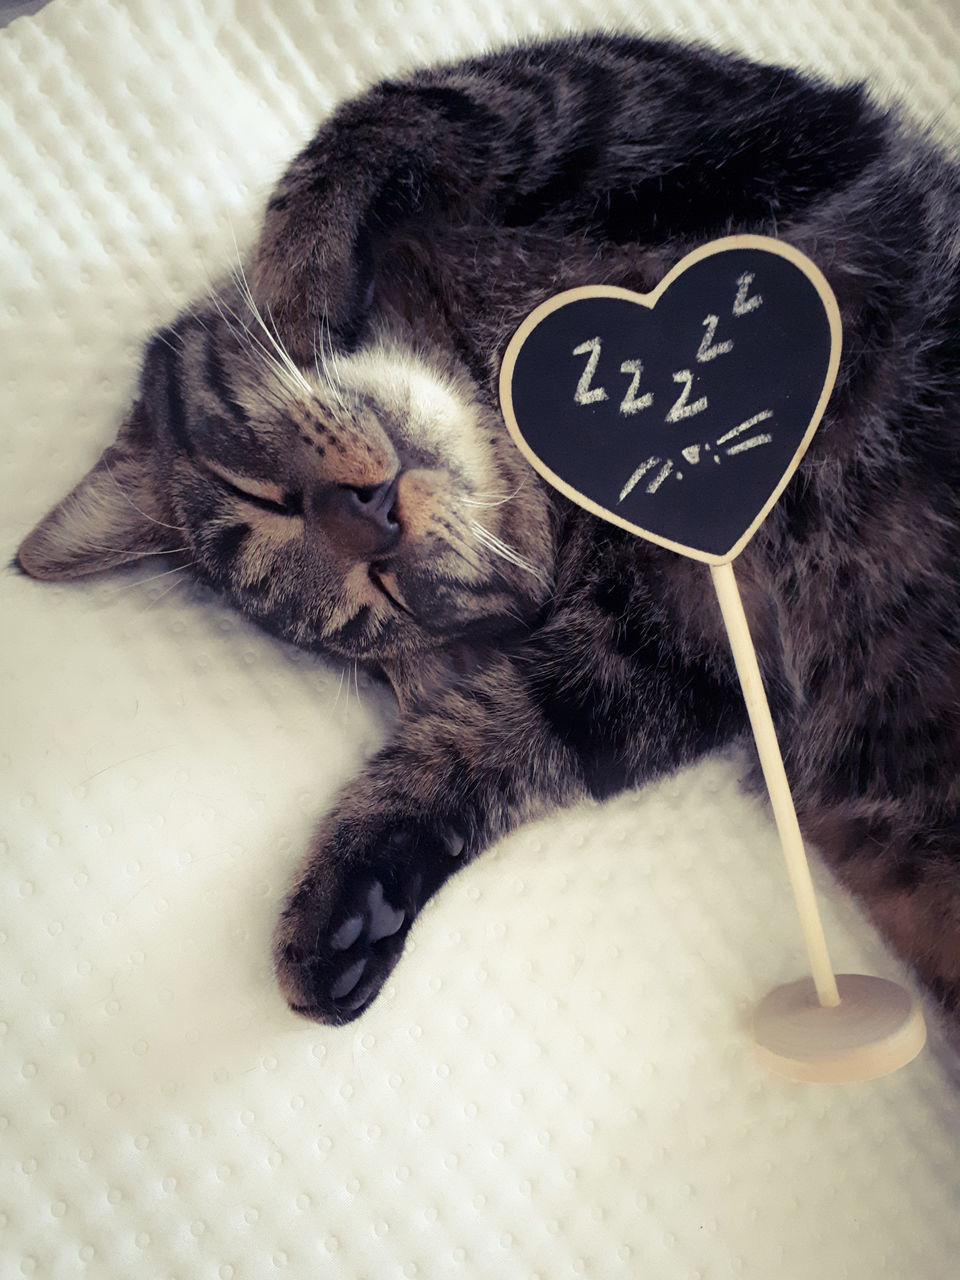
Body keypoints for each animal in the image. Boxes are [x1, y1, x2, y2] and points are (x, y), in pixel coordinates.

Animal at [16, 32, 960, 1018]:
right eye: (387, 595)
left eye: (258, 497)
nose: (371, 520)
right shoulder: (677, 649)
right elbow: (498, 736)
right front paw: (357, 900)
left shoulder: (705, 109)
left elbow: (384, 118)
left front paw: (295, 285)